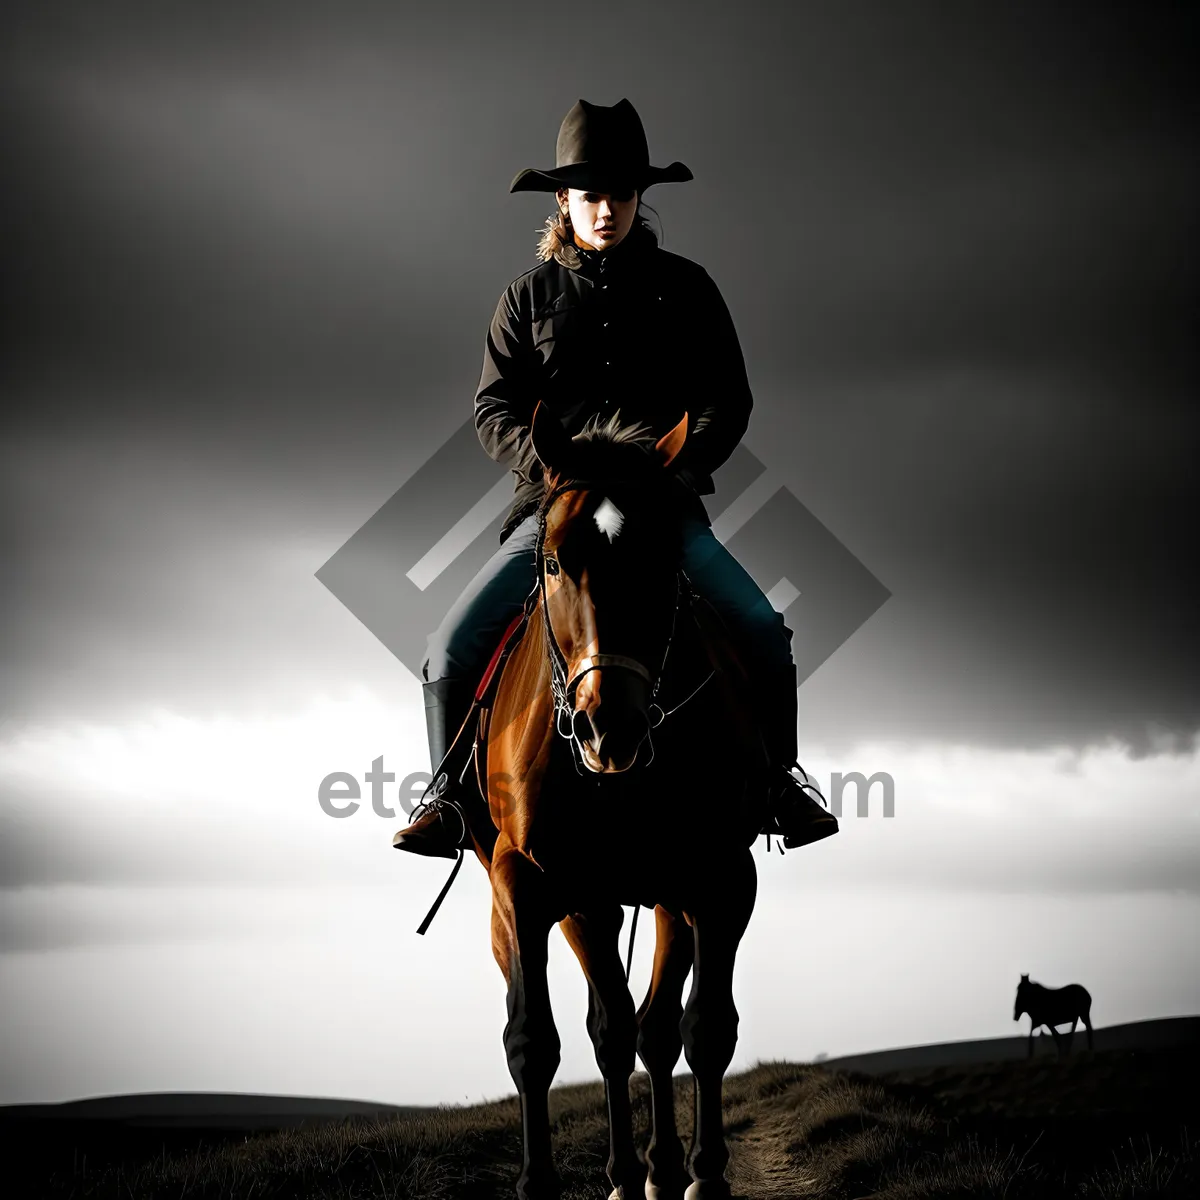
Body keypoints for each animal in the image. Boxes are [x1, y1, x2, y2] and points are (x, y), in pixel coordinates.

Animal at [458, 405, 768, 1200]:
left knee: (653, 1029)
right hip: (579, 904)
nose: (609, 727)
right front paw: (538, 1183)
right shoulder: (534, 885)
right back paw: (632, 1173)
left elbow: (704, 1028)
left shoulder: (722, 877)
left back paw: (659, 1170)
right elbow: (537, 1039)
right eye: (551, 562)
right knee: (615, 1028)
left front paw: (706, 1178)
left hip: (666, 900)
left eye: (664, 561)